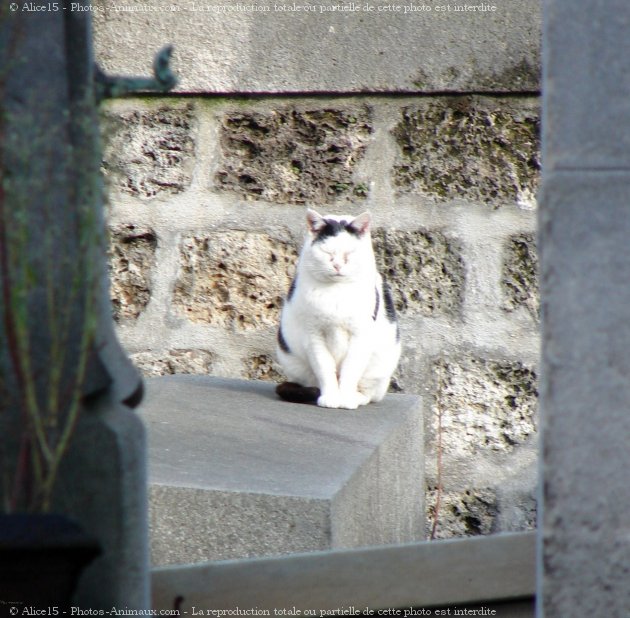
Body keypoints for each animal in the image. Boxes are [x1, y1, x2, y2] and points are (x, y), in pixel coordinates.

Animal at [276, 208, 400, 410]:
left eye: (350, 253)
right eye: (327, 252)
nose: (337, 265)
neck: (336, 292)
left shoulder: (360, 336)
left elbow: (351, 370)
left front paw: (346, 399)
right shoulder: (314, 336)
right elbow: (325, 368)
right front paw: (331, 397)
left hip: (380, 367)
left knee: (369, 394)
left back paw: (356, 397)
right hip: (293, 360)